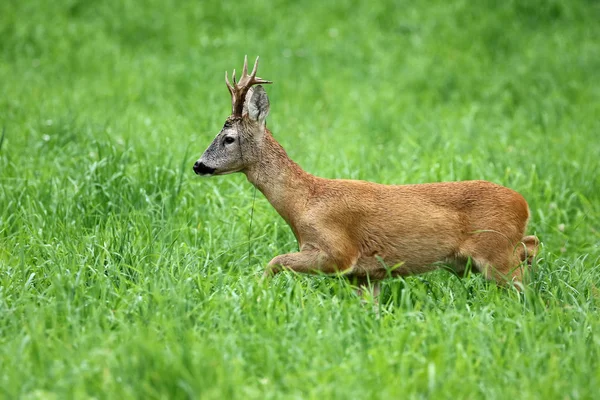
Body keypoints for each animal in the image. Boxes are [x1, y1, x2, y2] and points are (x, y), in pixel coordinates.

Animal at [195, 56, 540, 292]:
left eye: (228, 138)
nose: (198, 165)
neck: (304, 202)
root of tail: (523, 204)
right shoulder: (364, 275)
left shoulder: (337, 251)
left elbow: (274, 261)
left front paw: (257, 293)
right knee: (532, 245)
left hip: (495, 253)